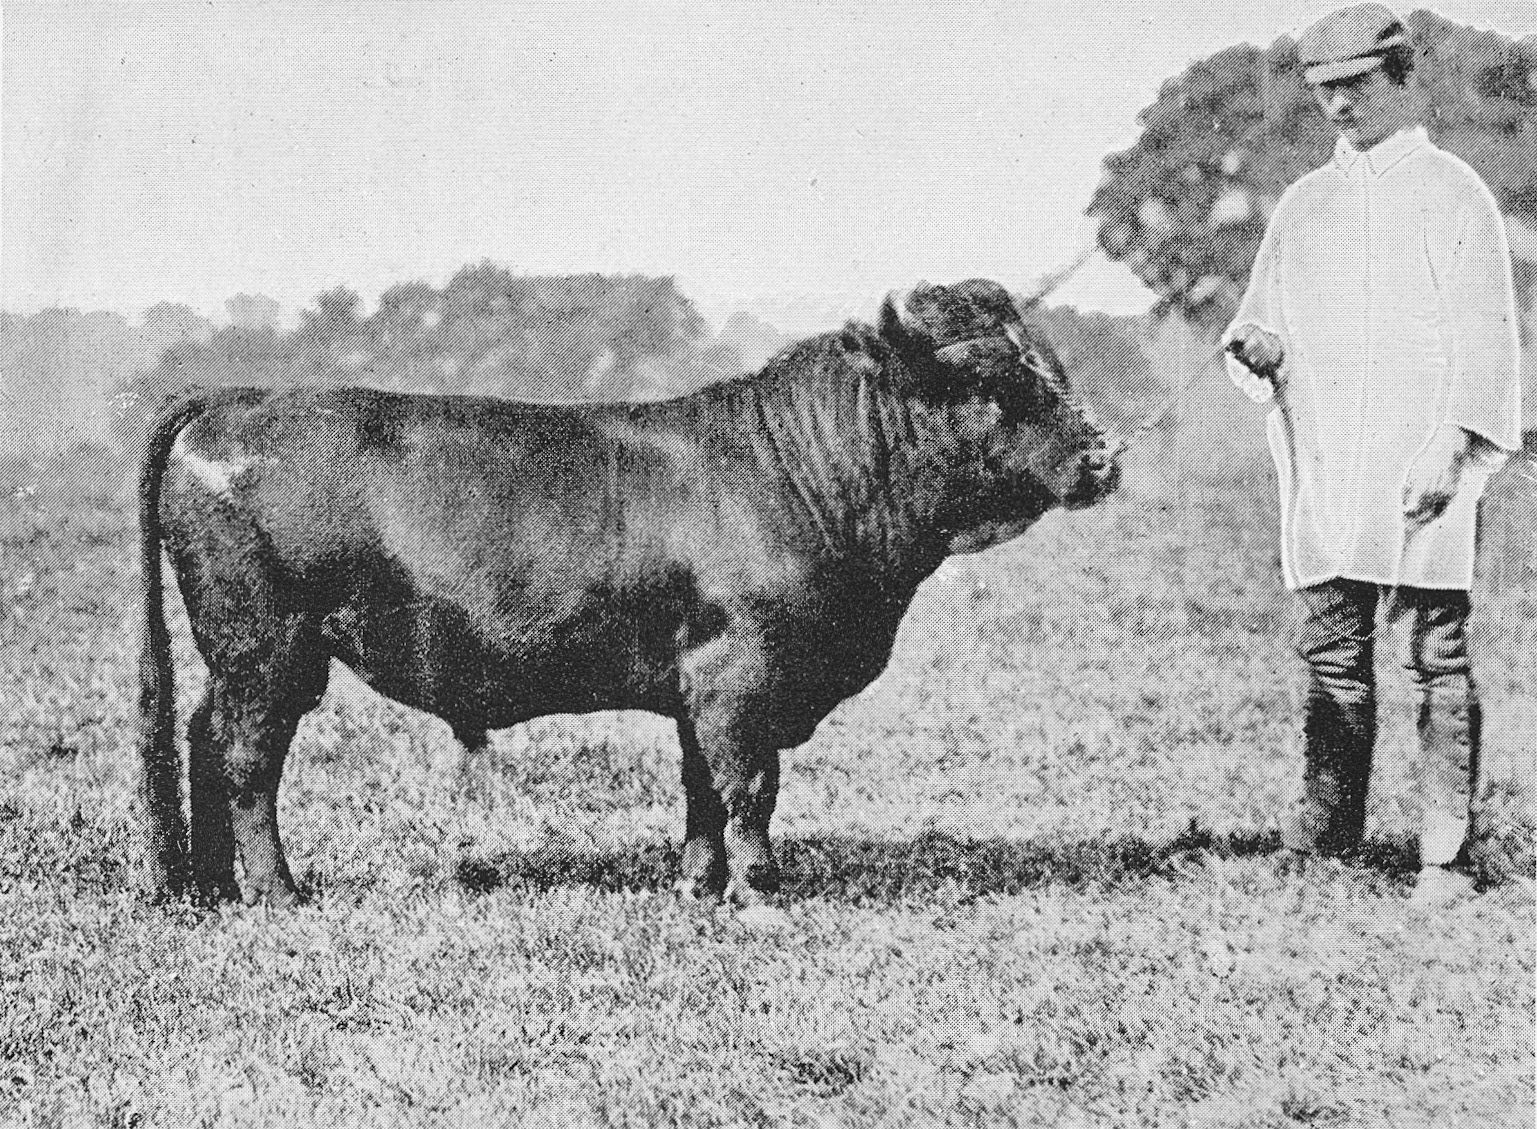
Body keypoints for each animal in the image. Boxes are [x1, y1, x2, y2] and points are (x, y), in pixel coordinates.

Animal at [137, 278, 1119, 908]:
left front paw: (698, 886)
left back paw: (211, 886)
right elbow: (747, 786)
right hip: (268, 649)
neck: (803, 472)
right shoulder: (740, 675)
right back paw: (276, 890)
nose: (1103, 455)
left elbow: (701, 790)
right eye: (990, 381)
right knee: (245, 758)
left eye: (1049, 366)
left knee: (202, 738)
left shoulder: (699, 687)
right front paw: (762, 892)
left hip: (249, 656)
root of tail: (239, 397)